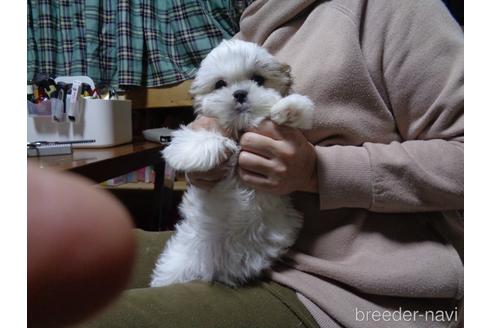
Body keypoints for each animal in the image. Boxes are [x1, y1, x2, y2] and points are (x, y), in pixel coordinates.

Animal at [150, 39, 314, 288]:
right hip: (178, 263)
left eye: (258, 79)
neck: (240, 128)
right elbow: (187, 143)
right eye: (220, 84)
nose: (239, 94)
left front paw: (290, 107)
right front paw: (214, 147)